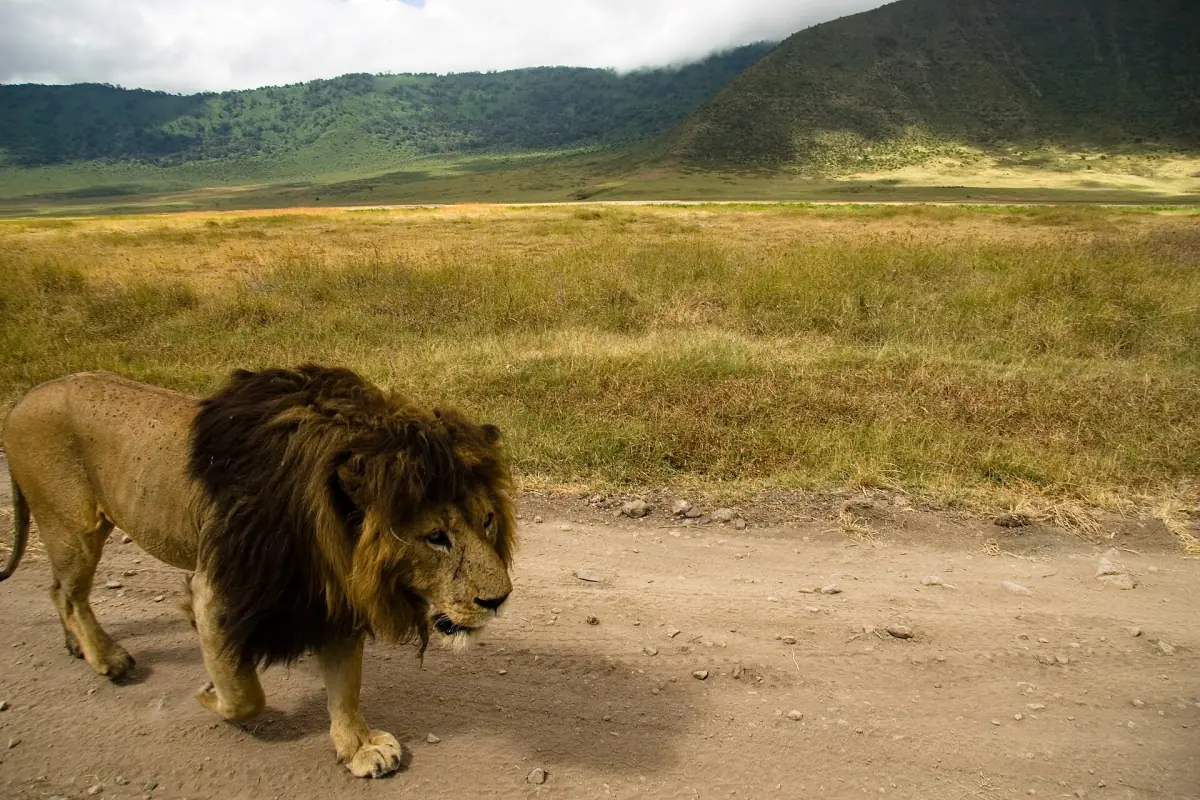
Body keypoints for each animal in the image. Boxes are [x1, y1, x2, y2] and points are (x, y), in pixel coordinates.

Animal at [0, 365, 516, 778]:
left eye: (487, 520)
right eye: (436, 537)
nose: (499, 600)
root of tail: (24, 398)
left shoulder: (330, 595)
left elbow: (346, 685)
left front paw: (357, 747)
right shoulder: (217, 592)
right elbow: (247, 695)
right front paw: (210, 693)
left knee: (56, 589)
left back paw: (77, 646)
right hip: (74, 527)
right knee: (71, 594)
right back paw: (107, 658)